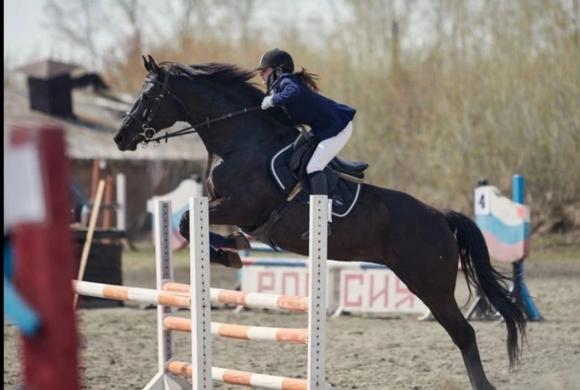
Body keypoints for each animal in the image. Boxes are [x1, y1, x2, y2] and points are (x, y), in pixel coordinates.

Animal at [114, 56, 524, 388]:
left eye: (148, 97)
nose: (120, 137)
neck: (240, 141)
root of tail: (440, 216)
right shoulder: (230, 209)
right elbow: (197, 225)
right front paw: (232, 250)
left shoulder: (240, 207)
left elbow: (187, 220)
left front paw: (228, 254)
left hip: (430, 284)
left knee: (464, 333)